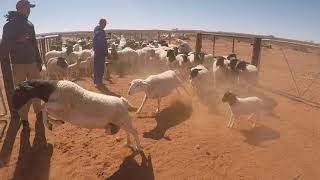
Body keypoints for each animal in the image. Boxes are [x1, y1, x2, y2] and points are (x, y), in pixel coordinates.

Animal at [11, 79, 141, 151]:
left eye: (19, 92)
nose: (14, 107)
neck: (51, 89)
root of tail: (122, 101)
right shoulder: (59, 112)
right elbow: (47, 111)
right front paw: (56, 123)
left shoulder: (61, 105)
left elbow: (44, 107)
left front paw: (49, 125)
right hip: (121, 122)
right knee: (128, 132)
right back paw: (127, 143)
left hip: (123, 120)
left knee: (134, 131)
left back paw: (138, 148)